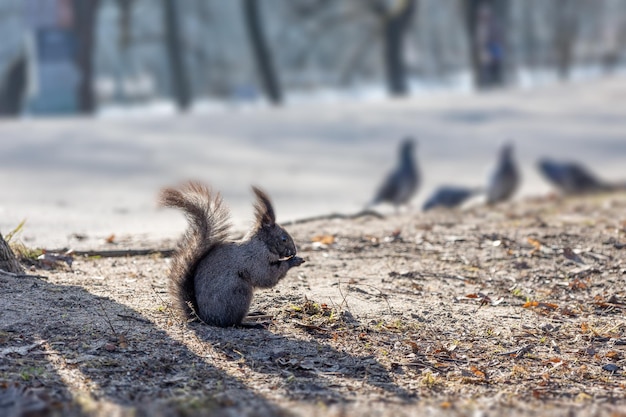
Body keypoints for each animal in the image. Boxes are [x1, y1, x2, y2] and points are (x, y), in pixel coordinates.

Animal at [160, 180, 304, 326]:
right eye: (284, 239)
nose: (294, 251)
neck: (261, 244)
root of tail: (205, 318)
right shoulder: (254, 260)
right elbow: (267, 276)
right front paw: (293, 261)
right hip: (240, 292)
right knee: (235, 322)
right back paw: (252, 322)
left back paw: (253, 314)